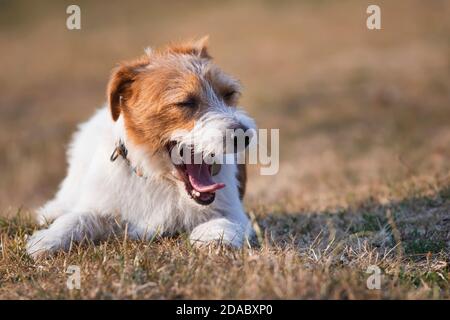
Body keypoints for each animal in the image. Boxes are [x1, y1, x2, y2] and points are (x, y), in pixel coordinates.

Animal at [25, 37, 256, 260]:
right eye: (186, 103)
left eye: (228, 93)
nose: (244, 135)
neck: (159, 178)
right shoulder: (101, 206)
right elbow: (78, 218)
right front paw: (48, 239)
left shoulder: (233, 211)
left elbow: (225, 221)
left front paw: (215, 238)